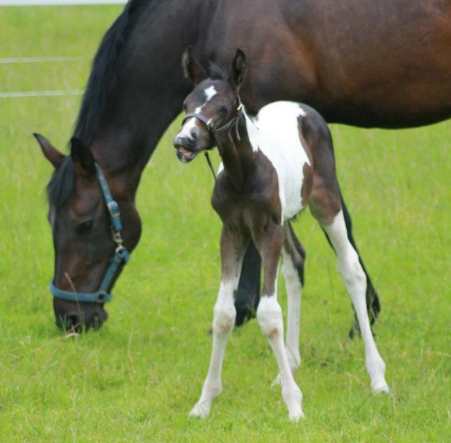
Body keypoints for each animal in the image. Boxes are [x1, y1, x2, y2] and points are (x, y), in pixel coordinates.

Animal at [173, 49, 388, 424]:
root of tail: (302, 107)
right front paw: (204, 402)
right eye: (188, 103)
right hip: (286, 219)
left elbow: (269, 314)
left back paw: (377, 377)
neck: (244, 174)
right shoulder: (232, 231)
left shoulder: (267, 229)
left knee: (351, 270)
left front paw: (294, 405)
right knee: (296, 264)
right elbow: (224, 314)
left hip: (325, 203)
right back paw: (290, 361)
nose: (184, 142)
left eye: (224, 107)